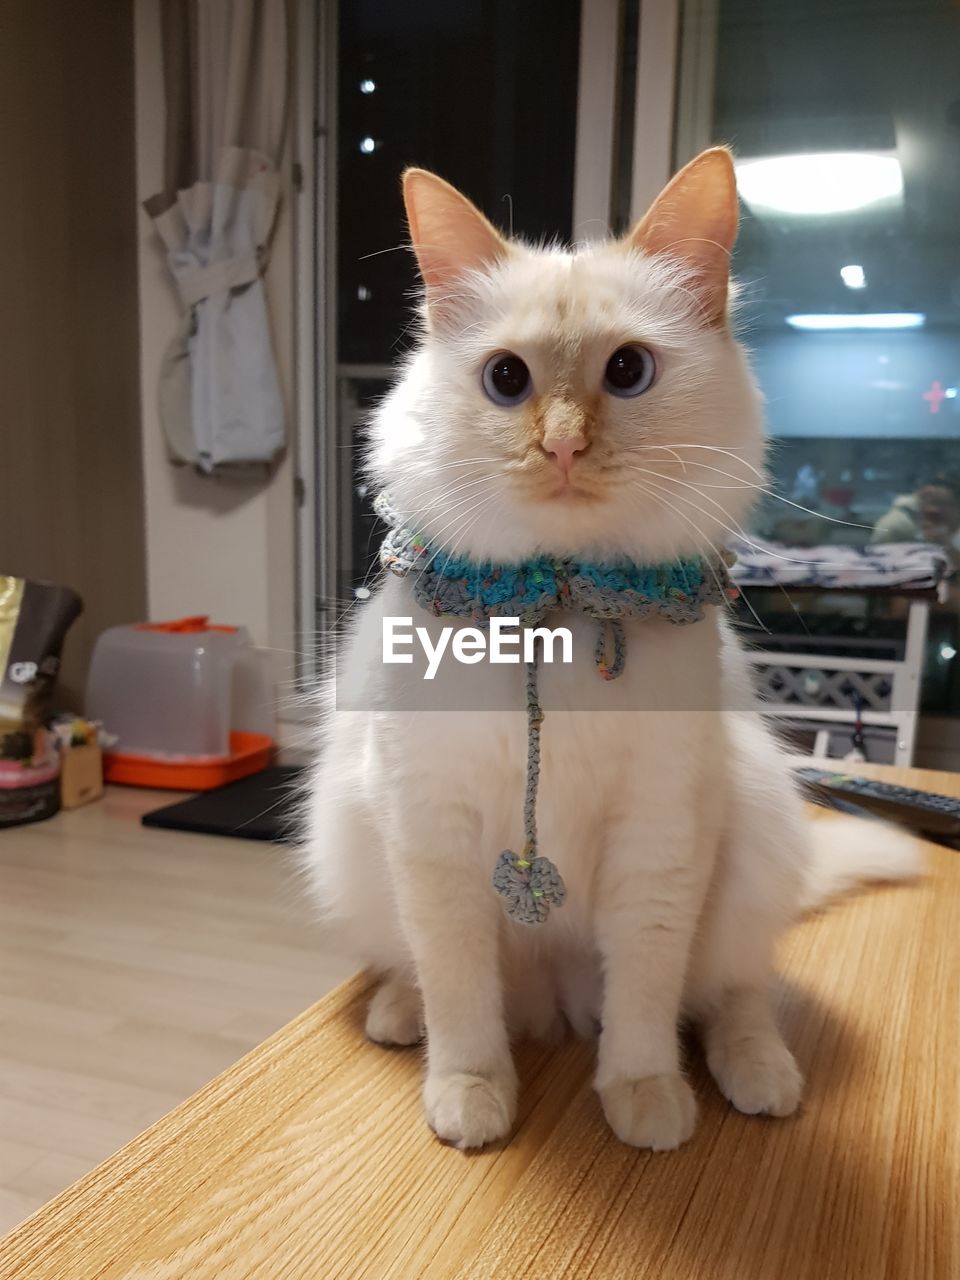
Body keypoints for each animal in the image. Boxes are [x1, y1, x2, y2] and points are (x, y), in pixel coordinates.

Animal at [305, 147, 916, 1152]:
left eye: (627, 371)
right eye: (506, 380)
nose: (562, 447)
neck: (559, 600)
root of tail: (554, 1000)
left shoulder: (659, 837)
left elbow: (644, 1001)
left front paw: (644, 1101)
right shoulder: (431, 833)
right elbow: (462, 996)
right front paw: (471, 1099)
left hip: (754, 833)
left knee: (735, 994)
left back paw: (760, 1078)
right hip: (353, 841)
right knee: (426, 974)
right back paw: (400, 1016)